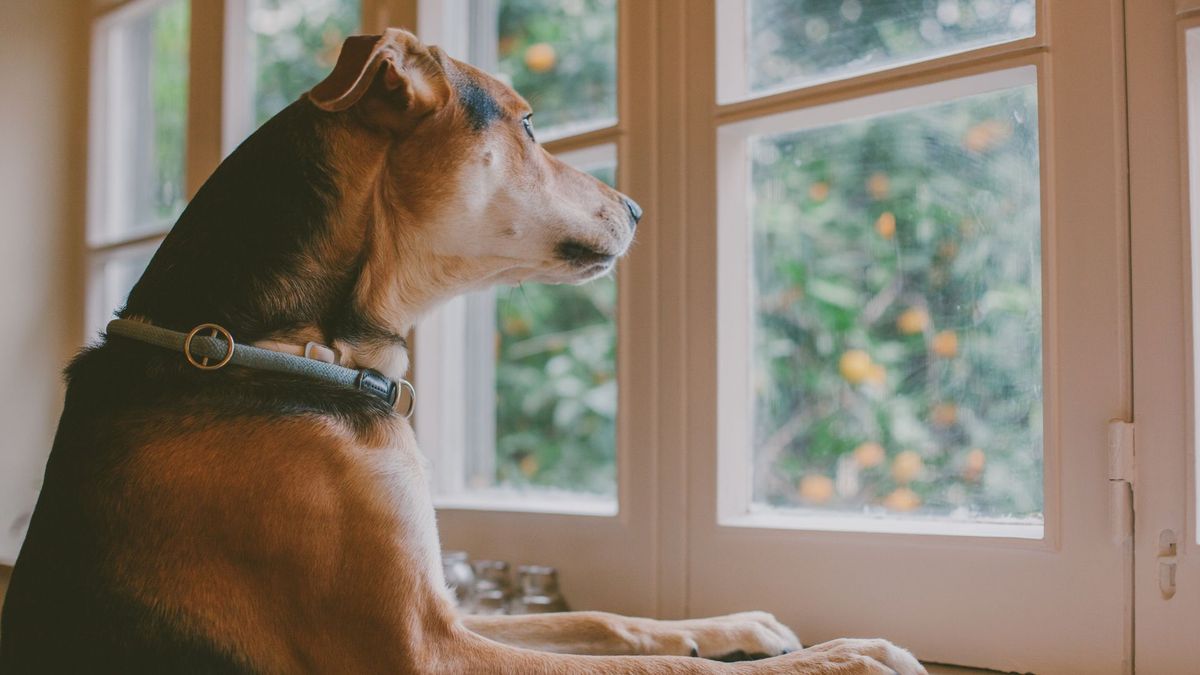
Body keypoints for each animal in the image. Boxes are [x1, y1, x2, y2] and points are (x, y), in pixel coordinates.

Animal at [0, 28, 921, 667]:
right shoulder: (422, 645)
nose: (637, 208)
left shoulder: (446, 606)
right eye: (530, 125)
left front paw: (735, 624)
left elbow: (598, 616)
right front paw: (846, 654)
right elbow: (662, 670)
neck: (281, 345)